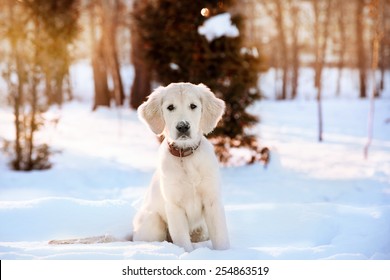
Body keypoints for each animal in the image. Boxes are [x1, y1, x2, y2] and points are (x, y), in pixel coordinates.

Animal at [133, 82, 230, 250]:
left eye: (193, 106)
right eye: (170, 107)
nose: (183, 127)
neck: (186, 156)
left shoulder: (212, 200)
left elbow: (220, 236)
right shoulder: (174, 206)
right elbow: (183, 241)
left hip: (202, 229)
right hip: (153, 222)